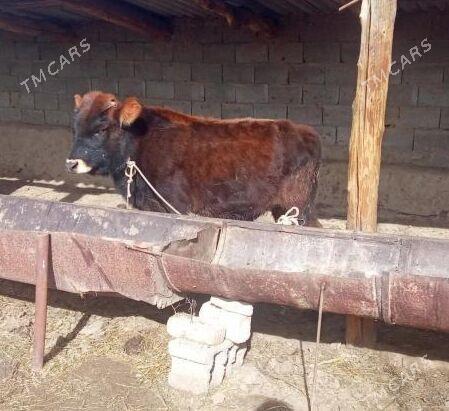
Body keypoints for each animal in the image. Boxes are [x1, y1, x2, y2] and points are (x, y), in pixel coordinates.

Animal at [66, 91, 321, 225]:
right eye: (75, 128)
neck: (140, 139)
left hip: (296, 208)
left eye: (102, 128)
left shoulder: (170, 206)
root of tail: (305, 131)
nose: (71, 163)